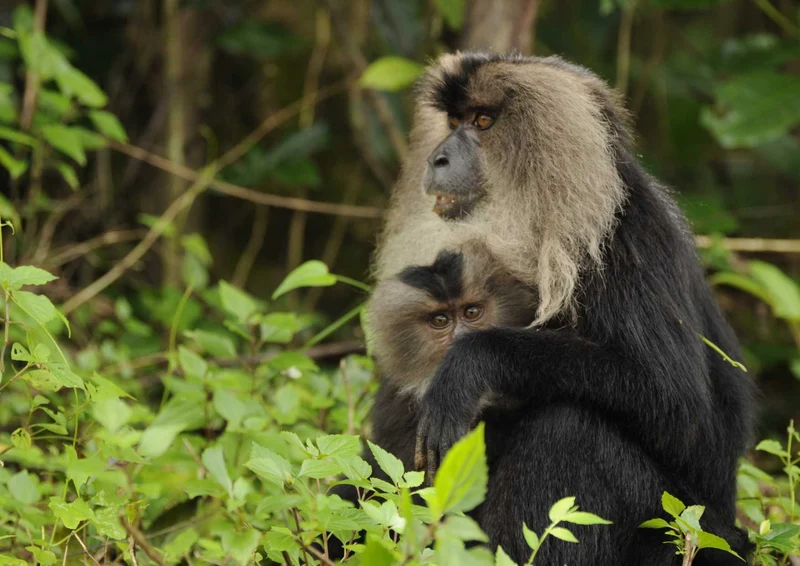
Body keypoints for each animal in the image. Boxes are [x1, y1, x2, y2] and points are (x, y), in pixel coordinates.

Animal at [368, 52, 755, 566]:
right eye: (453, 122)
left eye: (483, 121)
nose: (438, 158)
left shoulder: (628, 240)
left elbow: (677, 407)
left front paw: (472, 362)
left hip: (680, 529)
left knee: (568, 428)